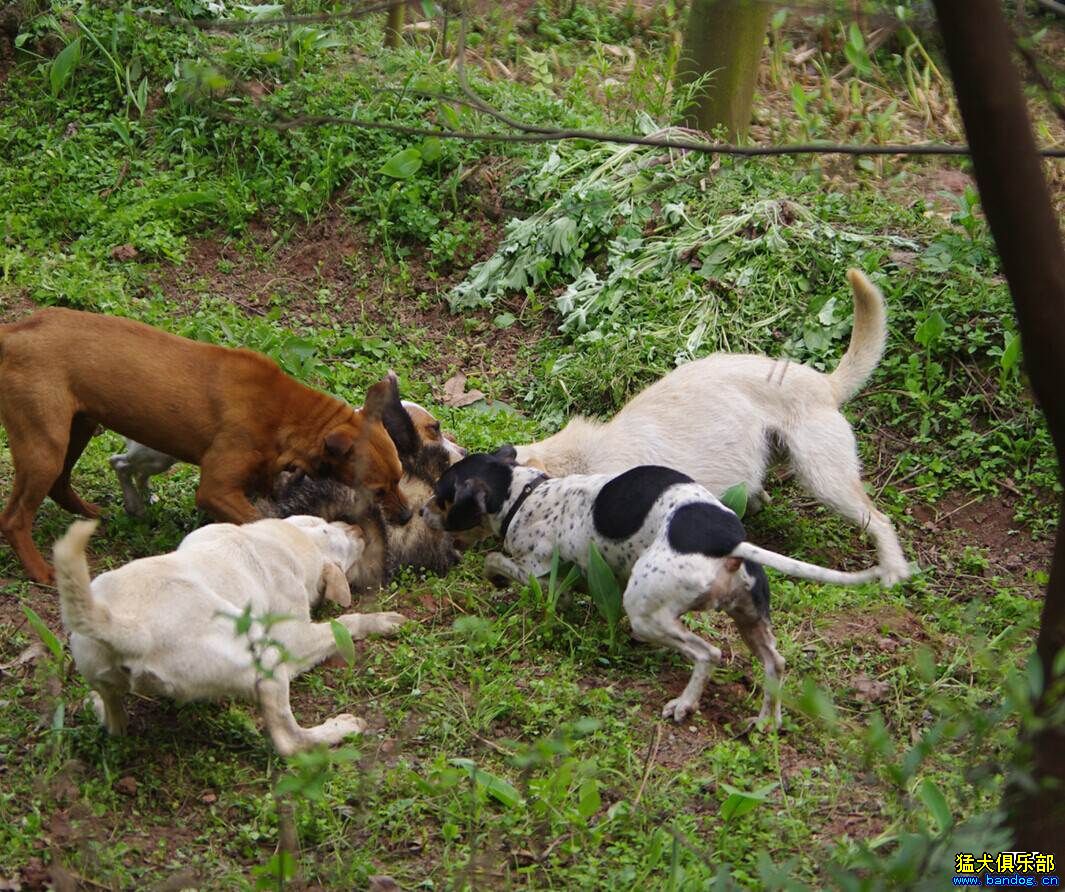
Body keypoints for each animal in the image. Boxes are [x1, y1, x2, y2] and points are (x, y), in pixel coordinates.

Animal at [1, 308, 406, 587]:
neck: (285, 414)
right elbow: (262, 522)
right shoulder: (215, 489)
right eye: (378, 490)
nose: (405, 517)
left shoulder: (259, 479)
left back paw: (94, 514)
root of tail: (14, 333)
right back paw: (40, 570)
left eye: (401, 477)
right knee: (14, 518)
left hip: (76, 428)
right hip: (45, 448)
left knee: (61, 484)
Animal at [55, 517, 411, 753]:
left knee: (115, 723)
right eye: (345, 545)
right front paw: (381, 621)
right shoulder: (293, 639)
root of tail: (129, 629)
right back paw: (340, 729)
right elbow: (347, 623)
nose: (359, 528)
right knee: (290, 742)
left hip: (97, 664)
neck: (284, 541)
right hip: (265, 660)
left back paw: (97, 707)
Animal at [423, 451, 881, 728]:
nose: (420, 511)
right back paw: (768, 720)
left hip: (644, 612)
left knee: (708, 653)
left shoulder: (538, 573)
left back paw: (685, 704)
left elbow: (495, 560)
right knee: (776, 663)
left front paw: (495, 576)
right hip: (749, 617)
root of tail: (729, 541)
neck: (525, 495)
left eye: (441, 495)